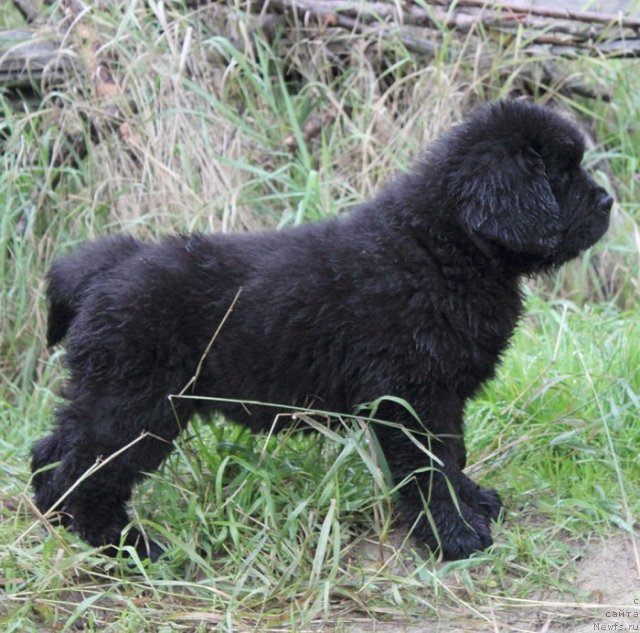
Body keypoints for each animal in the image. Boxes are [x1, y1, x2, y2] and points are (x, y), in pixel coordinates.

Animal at [32, 101, 612, 560]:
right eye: (561, 174)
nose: (609, 201)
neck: (443, 249)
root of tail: (106, 266)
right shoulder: (410, 398)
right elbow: (429, 470)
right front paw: (456, 537)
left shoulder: (441, 397)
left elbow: (452, 456)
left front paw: (473, 504)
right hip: (136, 403)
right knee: (88, 473)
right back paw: (125, 545)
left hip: (108, 392)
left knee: (53, 449)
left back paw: (53, 518)